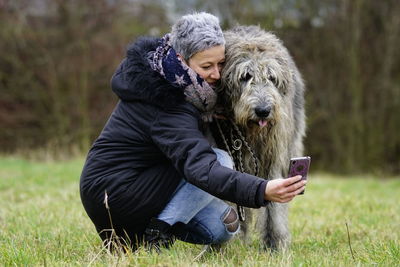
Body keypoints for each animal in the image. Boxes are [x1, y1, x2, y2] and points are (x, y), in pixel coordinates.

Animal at [216, 25, 306, 251]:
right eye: (245, 76)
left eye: (272, 78)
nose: (263, 111)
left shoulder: (275, 154)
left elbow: (274, 204)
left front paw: (275, 243)